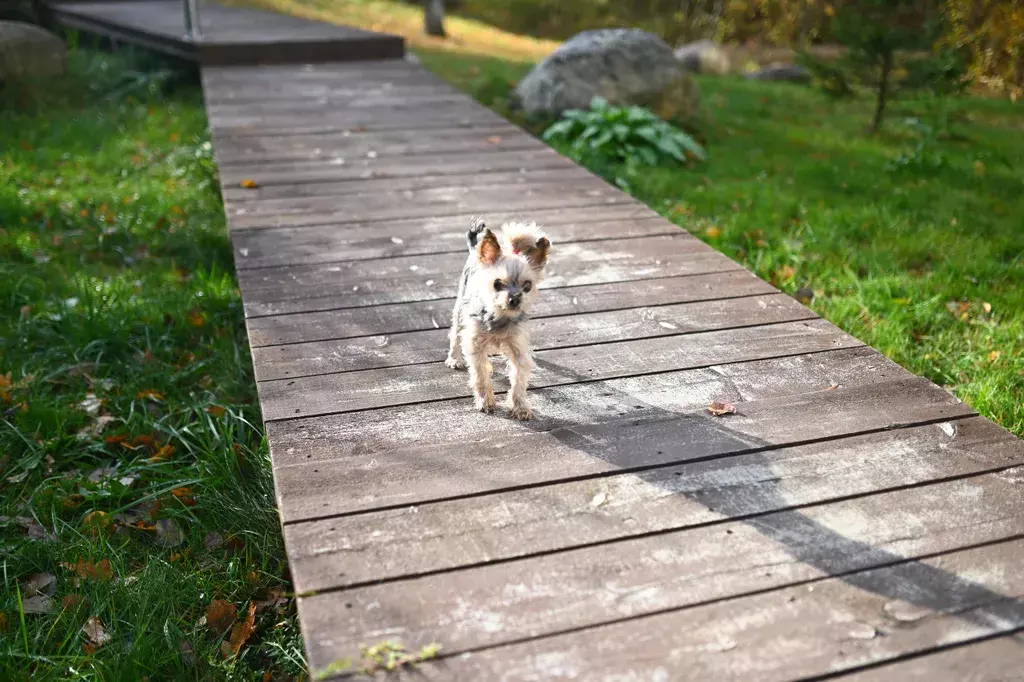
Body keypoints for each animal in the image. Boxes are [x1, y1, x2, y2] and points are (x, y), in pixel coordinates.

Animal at [444, 218, 548, 417]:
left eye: (527, 285)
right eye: (497, 284)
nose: (515, 299)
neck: (500, 317)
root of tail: (475, 250)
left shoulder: (518, 349)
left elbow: (518, 379)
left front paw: (520, 406)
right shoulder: (475, 346)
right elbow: (481, 376)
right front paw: (485, 401)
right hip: (460, 309)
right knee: (455, 333)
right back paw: (454, 358)